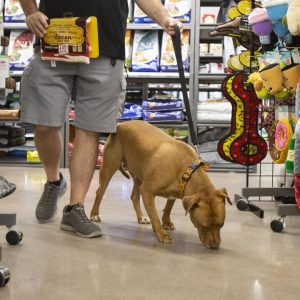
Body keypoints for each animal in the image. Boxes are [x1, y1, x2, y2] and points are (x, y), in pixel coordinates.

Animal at [91, 119, 232, 248]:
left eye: (221, 225)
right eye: (204, 227)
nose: (215, 246)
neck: (186, 170)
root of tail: (121, 124)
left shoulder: (177, 191)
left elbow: (168, 208)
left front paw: (166, 223)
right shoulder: (147, 191)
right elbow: (154, 215)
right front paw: (161, 233)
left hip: (139, 175)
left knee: (134, 196)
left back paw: (141, 217)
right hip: (108, 168)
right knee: (100, 192)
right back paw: (94, 214)